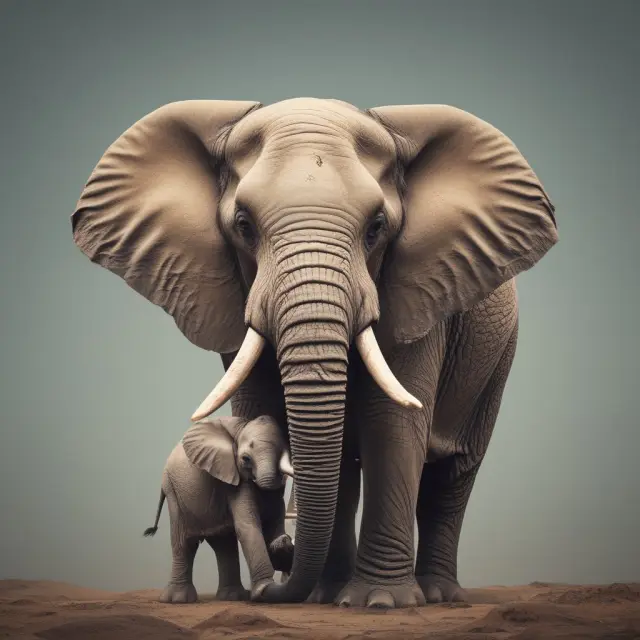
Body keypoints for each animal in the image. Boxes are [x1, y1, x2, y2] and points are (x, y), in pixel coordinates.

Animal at [143, 415, 295, 603]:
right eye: (246, 459)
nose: (286, 540)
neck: (241, 429)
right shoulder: (234, 479)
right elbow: (248, 527)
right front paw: (262, 590)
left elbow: (274, 519)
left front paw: (280, 543)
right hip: (172, 489)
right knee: (184, 542)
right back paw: (178, 599)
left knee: (223, 543)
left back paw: (232, 596)